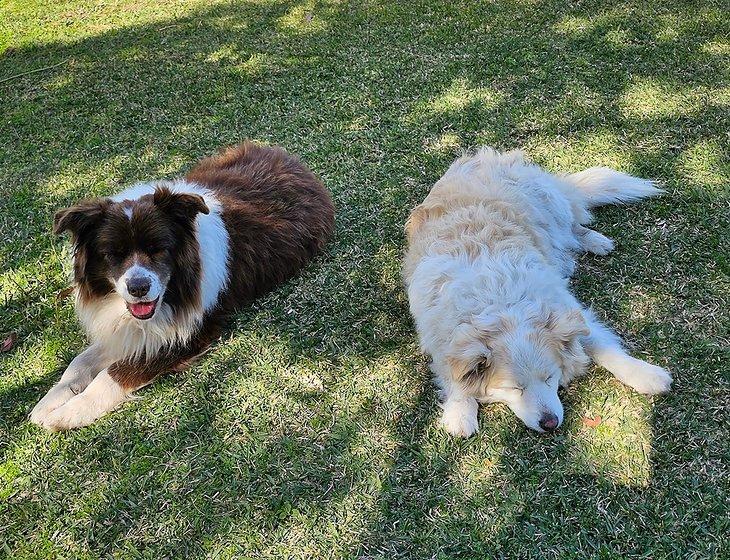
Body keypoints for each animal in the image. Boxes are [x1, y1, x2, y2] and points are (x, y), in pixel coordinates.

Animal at [30, 142, 332, 430]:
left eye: (159, 249)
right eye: (113, 254)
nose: (138, 288)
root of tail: (295, 163)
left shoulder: (188, 334)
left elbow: (114, 373)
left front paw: (69, 413)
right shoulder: (126, 328)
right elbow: (79, 362)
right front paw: (50, 401)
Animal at [404, 149, 672, 438]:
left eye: (550, 377)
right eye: (514, 388)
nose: (550, 423)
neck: (502, 302)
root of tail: (487, 156)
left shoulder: (567, 310)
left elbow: (601, 344)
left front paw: (644, 374)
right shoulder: (437, 330)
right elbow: (453, 371)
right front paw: (460, 410)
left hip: (550, 206)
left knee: (572, 224)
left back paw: (595, 241)